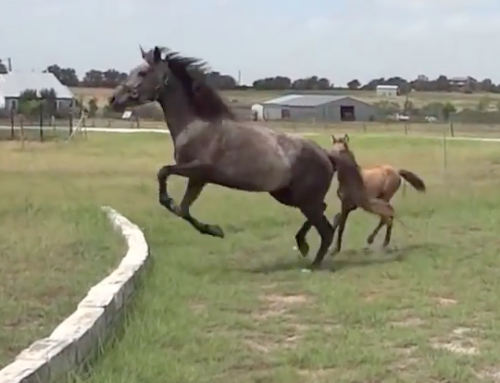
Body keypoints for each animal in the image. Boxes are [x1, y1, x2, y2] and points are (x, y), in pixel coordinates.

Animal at [110, 45, 394, 270]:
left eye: (142, 73)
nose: (114, 99)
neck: (199, 125)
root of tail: (326, 154)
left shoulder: (196, 170)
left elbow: (164, 174)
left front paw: (208, 226)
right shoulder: (199, 179)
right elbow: (183, 209)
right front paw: (215, 230)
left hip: (303, 199)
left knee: (325, 227)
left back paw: (312, 263)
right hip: (288, 196)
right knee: (324, 216)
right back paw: (303, 246)